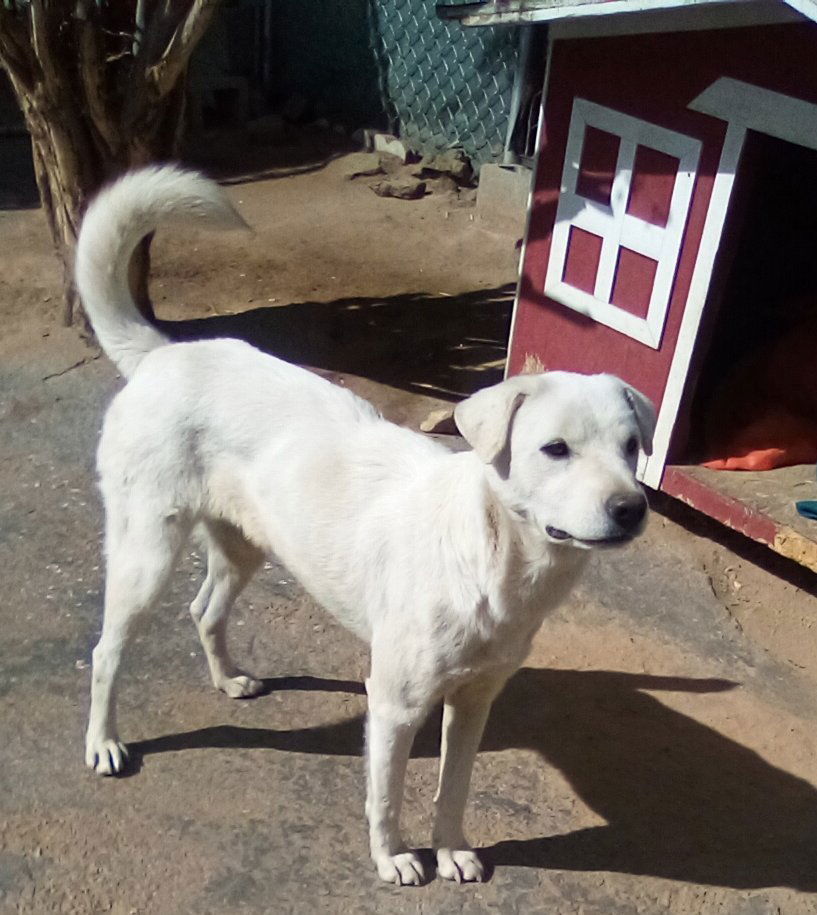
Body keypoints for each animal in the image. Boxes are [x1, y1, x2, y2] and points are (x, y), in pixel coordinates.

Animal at [75, 166, 652, 888]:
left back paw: (228, 678)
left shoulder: (474, 701)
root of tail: (162, 356)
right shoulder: (395, 702)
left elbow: (453, 787)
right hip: (146, 552)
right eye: (555, 449)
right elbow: (387, 792)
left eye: (631, 447)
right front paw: (393, 858)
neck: (490, 559)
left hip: (243, 547)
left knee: (203, 609)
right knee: (106, 650)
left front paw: (451, 848)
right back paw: (103, 742)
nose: (631, 509)